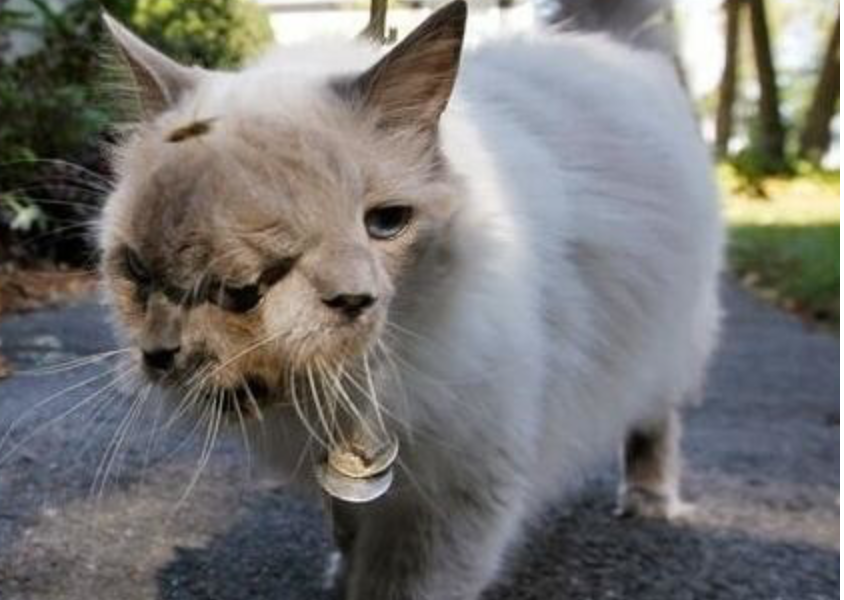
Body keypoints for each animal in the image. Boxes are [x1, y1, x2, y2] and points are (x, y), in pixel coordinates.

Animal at [98, 1, 723, 598]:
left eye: (386, 223)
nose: (353, 299)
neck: (346, 388)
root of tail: (607, 42)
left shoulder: (455, 495)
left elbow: (401, 585)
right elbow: (348, 527)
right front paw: (341, 575)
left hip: (669, 345)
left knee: (656, 420)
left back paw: (649, 499)